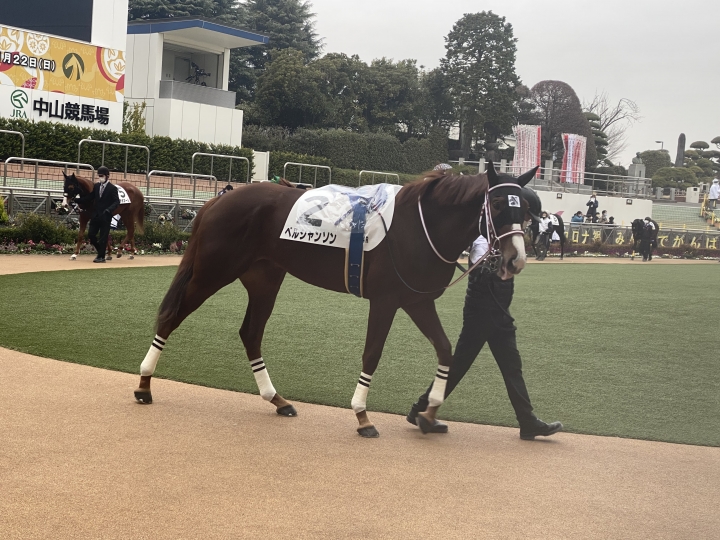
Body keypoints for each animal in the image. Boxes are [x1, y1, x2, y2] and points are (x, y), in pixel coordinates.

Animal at [134, 162, 538, 437]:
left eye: (524, 209)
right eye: (498, 205)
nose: (516, 259)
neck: (419, 227)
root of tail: (218, 200)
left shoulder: (417, 301)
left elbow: (445, 349)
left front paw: (430, 413)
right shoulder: (386, 300)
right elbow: (372, 354)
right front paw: (362, 415)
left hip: (265, 278)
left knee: (250, 333)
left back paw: (276, 399)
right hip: (213, 272)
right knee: (172, 316)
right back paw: (144, 384)